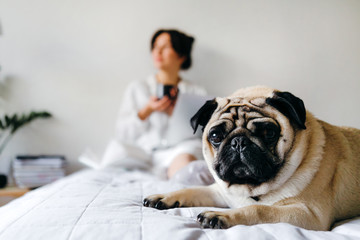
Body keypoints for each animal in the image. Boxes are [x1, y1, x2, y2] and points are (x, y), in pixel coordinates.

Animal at [143, 86, 360, 231]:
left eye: (269, 133)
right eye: (216, 136)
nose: (239, 142)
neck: (249, 188)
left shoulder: (307, 213)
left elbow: (258, 210)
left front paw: (222, 215)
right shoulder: (219, 193)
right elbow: (193, 190)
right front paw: (164, 197)